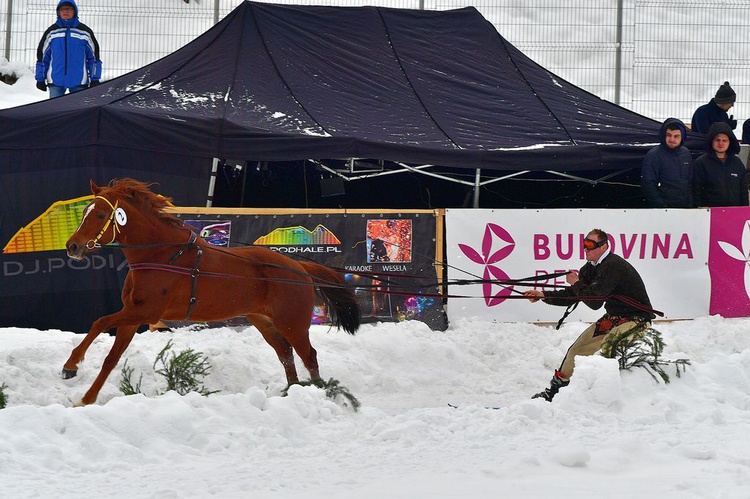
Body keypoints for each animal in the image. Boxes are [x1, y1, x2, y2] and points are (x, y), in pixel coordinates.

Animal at [62, 179, 362, 406]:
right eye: (85, 211)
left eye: (101, 215)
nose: (72, 246)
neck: (162, 255)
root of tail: (299, 266)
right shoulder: (132, 315)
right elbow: (110, 358)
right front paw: (85, 398)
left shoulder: (145, 312)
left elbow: (99, 322)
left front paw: (71, 366)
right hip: (263, 321)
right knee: (286, 353)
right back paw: (292, 391)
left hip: (293, 323)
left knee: (308, 355)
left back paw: (319, 392)